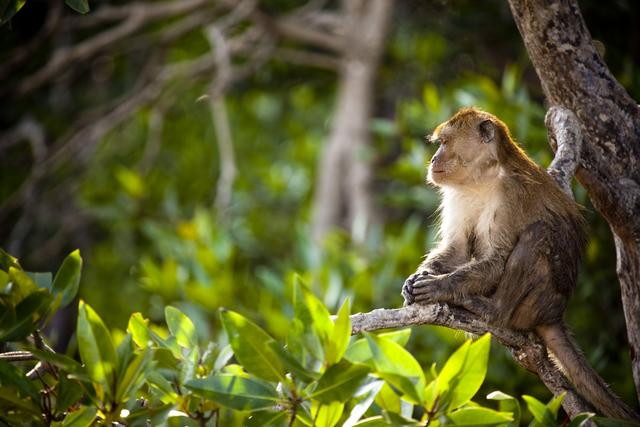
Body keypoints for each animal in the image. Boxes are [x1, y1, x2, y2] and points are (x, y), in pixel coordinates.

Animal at [402, 107, 636, 422]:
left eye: (445, 142)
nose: (434, 160)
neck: (483, 178)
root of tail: (554, 313)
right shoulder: (456, 193)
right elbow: (459, 250)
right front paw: (415, 280)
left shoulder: (511, 193)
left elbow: (498, 260)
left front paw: (440, 287)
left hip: (535, 303)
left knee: (537, 234)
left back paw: (493, 310)